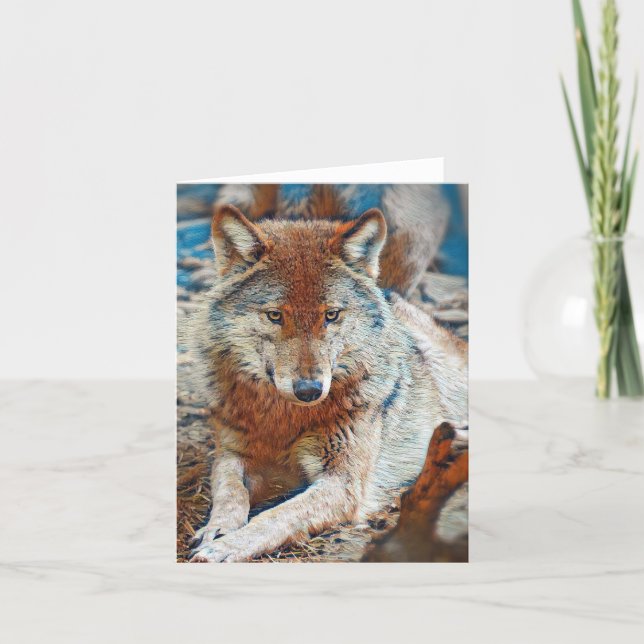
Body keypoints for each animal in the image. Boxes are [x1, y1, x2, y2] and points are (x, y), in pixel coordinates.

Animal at [186, 184, 467, 562]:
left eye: (331, 315)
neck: (285, 419)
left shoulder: (342, 483)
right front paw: (217, 529)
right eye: (275, 315)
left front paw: (226, 548)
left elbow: (276, 516)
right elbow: (229, 490)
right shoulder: (233, 454)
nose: (309, 389)